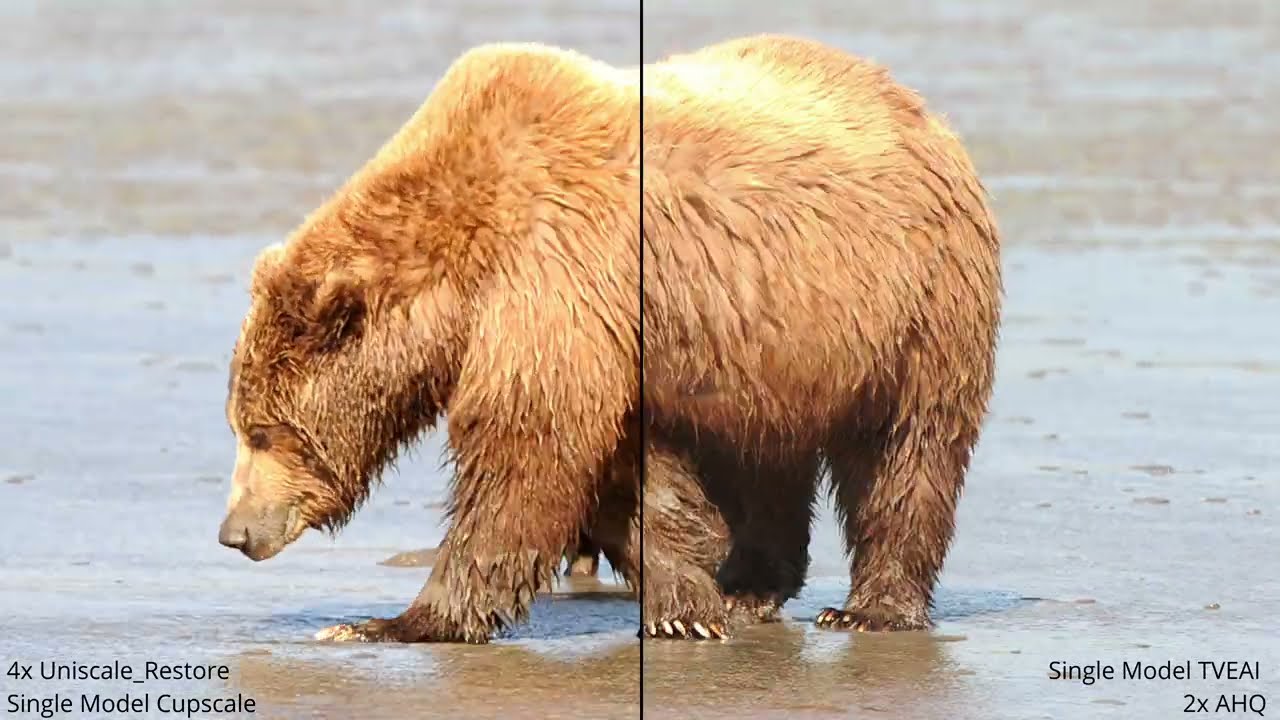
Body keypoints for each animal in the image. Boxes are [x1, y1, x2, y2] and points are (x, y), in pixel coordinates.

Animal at [639, 34, 1002, 638]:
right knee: (765, 466)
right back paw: (750, 587)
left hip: (918, 313)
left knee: (908, 452)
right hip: (780, 366)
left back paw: (870, 609)